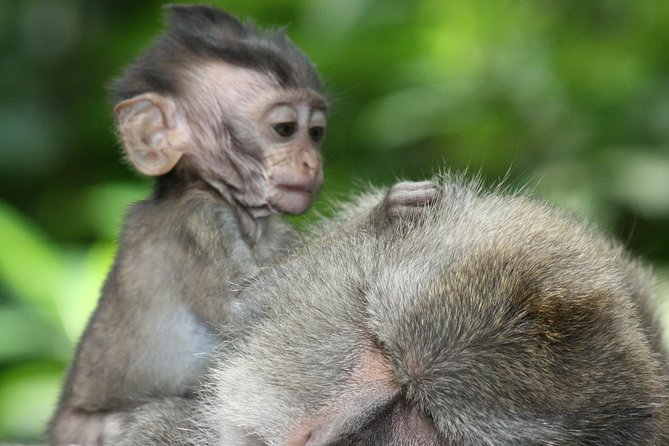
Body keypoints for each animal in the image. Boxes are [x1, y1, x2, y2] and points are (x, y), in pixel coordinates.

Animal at [47, 5, 334, 444]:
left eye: (316, 133)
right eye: (285, 129)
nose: (312, 162)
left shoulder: (279, 231)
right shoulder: (197, 222)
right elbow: (242, 308)